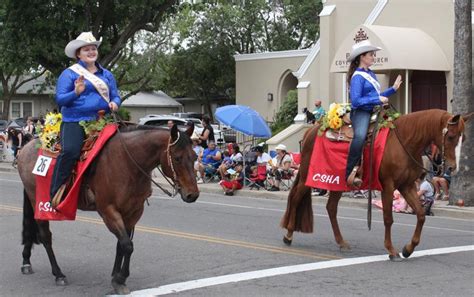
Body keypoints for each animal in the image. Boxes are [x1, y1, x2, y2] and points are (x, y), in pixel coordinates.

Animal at [16, 122, 198, 292]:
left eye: (195, 157)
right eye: (177, 158)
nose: (193, 194)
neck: (127, 162)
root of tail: (26, 147)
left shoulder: (133, 212)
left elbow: (123, 245)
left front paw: (117, 276)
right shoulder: (108, 211)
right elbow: (127, 245)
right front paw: (120, 279)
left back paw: (26, 261)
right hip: (38, 200)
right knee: (46, 236)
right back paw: (58, 274)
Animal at [282, 108, 470, 260]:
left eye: (463, 139)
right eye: (451, 136)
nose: (452, 168)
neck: (403, 142)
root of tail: (311, 130)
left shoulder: (407, 186)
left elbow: (421, 215)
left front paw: (408, 249)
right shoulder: (388, 185)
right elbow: (388, 218)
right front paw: (392, 251)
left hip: (338, 184)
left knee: (331, 208)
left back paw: (342, 242)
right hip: (308, 177)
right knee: (296, 198)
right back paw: (288, 235)